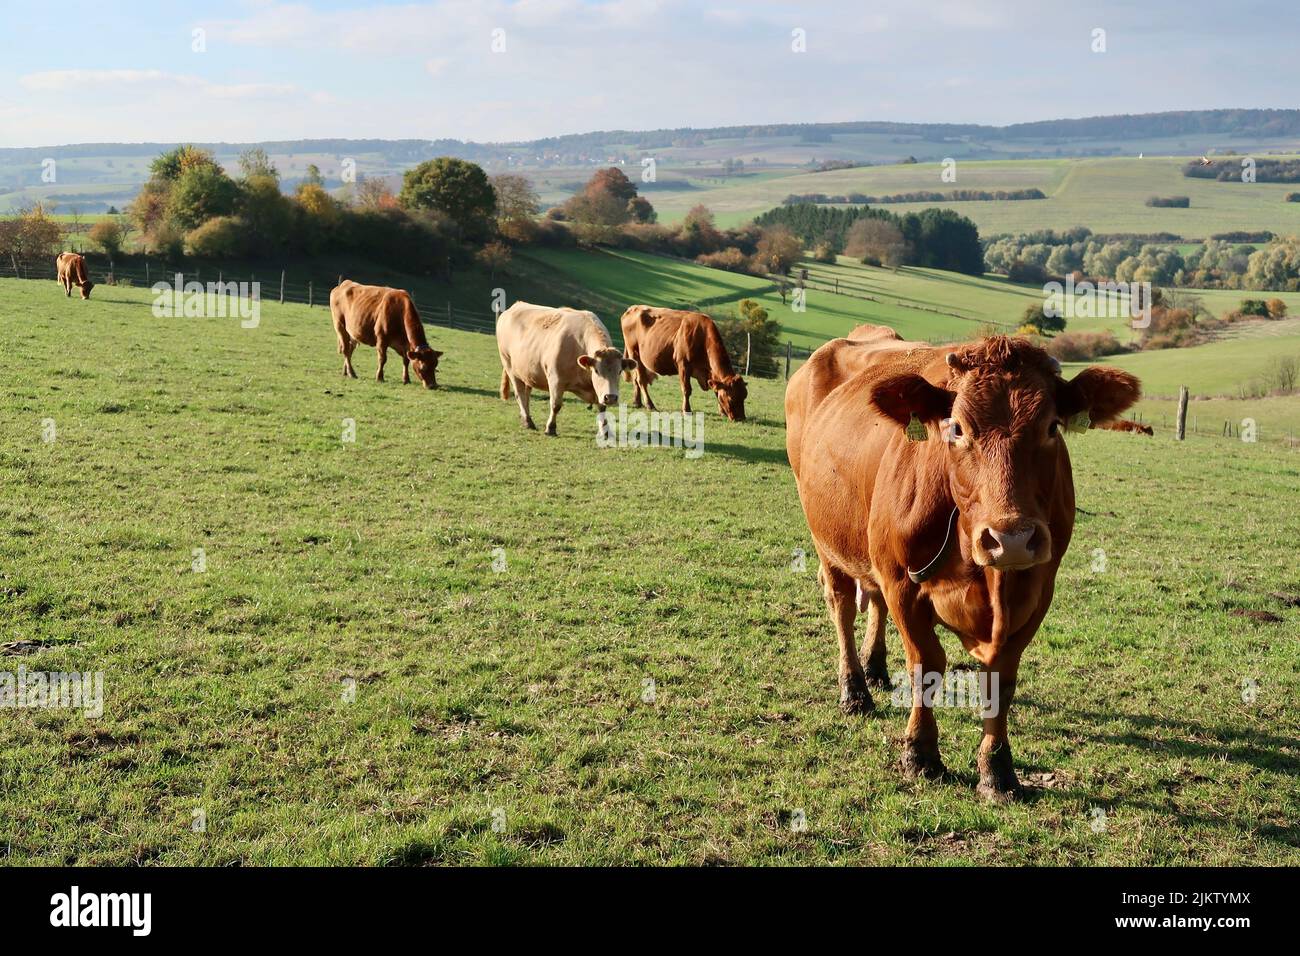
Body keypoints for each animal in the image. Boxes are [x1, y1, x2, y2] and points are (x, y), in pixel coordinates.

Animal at [496, 301, 634, 437]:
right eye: (596, 371)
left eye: (619, 371)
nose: (611, 397)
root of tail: (515, 306)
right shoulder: (556, 379)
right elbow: (556, 405)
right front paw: (550, 428)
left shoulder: (599, 390)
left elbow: (602, 407)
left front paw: (605, 431)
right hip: (509, 365)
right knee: (520, 394)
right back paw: (528, 421)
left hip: (527, 373)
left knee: (526, 395)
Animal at [619, 306, 748, 422]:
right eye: (731, 399)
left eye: (744, 396)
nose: (741, 418)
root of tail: (633, 308)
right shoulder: (683, 365)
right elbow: (687, 389)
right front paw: (686, 410)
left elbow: (716, 390)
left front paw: (722, 412)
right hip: (634, 353)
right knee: (641, 380)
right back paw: (650, 405)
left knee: (635, 379)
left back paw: (637, 402)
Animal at [785, 325, 1140, 802]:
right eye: (957, 428)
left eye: (1052, 427)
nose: (1010, 539)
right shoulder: (902, 582)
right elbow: (926, 664)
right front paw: (920, 755)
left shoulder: (1037, 588)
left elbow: (1001, 678)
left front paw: (997, 770)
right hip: (827, 539)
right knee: (841, 604)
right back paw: (855, 690)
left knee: (872, 601)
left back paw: (875, 670)